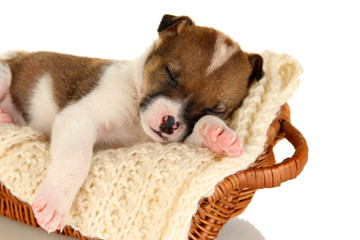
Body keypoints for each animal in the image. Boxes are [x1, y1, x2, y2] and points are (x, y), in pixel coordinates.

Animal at [0, 14, 264, 232]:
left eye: (216, 109)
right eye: (170, 73)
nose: (168, 125)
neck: (136, 119)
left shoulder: (172, 141)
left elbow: (196, 134)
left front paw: (217, 135)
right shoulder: (79, 117)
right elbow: (75, 161)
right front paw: (55, 201)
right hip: (4, 73)